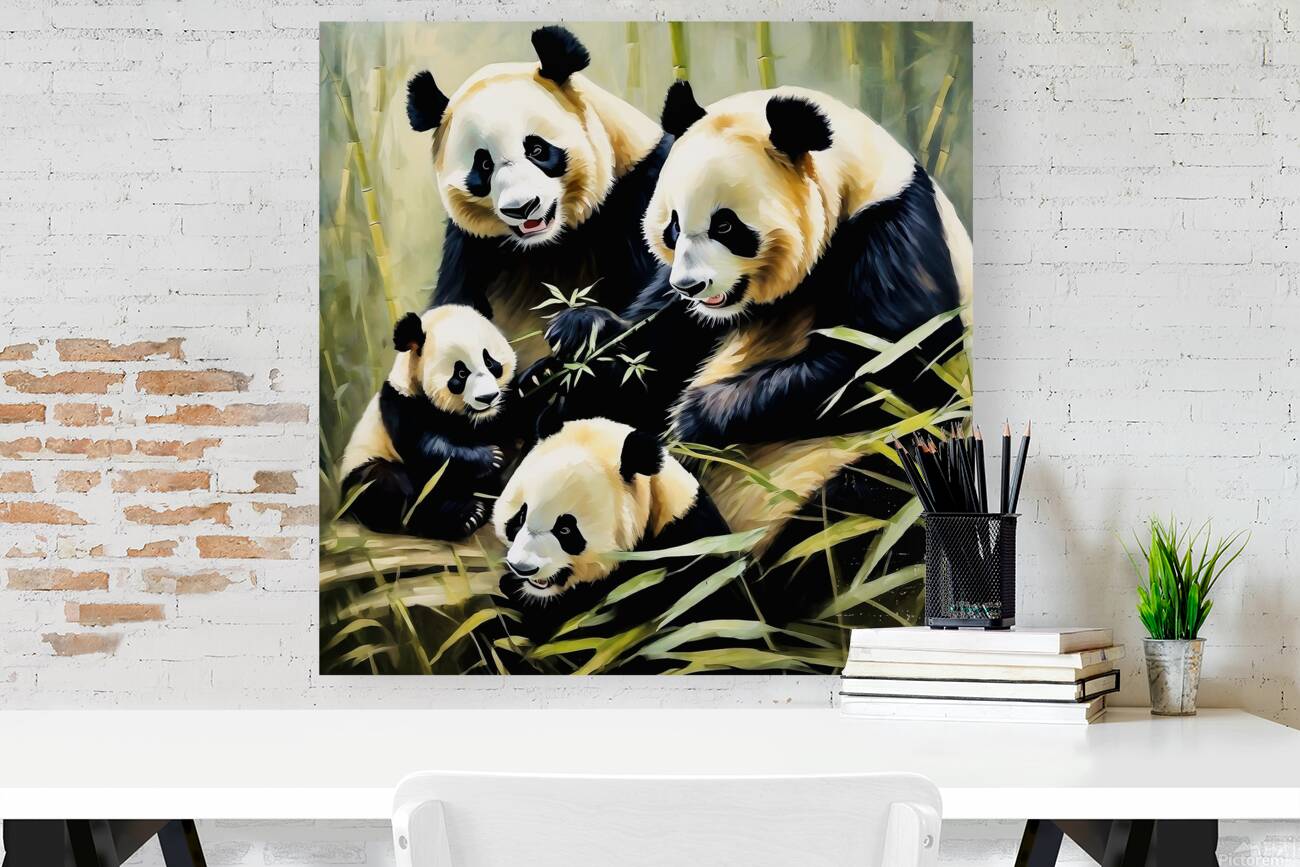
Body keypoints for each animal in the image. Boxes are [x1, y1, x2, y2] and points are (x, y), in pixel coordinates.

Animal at [339, 305, 517, 541]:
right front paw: (491, 457)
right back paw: (462, 517)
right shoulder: (402, 404)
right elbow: (426, 450)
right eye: (461, 373)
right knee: (384, 484)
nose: (487, 397)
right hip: (359, 475)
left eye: (489, 362)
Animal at [406, 25, 671, 367]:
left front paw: (581, 328)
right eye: (484, 165)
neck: (550, 243)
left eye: (536, 149)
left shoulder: (641, 187)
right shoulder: (469, 249)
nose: (523, 208)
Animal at [541, 83, 972, 615]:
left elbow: (898, 364)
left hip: (860, 469)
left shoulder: (893, 230)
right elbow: (649, 349)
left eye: (726, 226)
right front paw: (581, 334)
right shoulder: (692, 315)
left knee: (856, 512)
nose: (691, 285)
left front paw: (696, 416)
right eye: (673, 225)